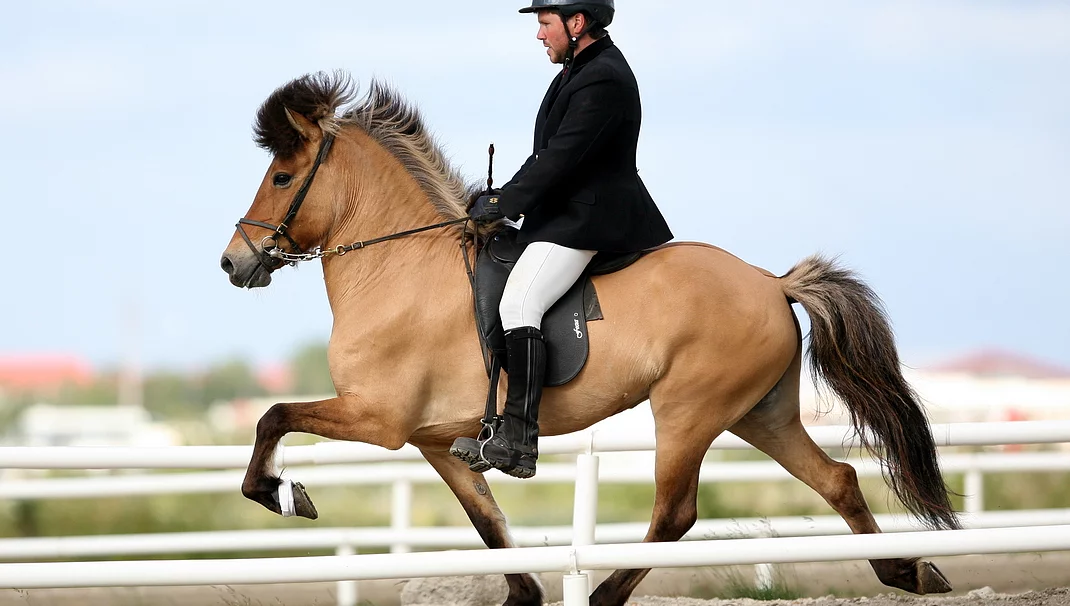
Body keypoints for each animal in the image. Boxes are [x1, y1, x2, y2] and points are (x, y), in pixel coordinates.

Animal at [219, 74, 963, 606]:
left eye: (282, 177)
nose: (234, 263)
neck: (399, 269)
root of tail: (768, 281)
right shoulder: (434, 439)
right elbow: (490, 527)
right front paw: (522, 593)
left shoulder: (379, 418)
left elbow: (272, 416)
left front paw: (284, 494)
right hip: (760, 412)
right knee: (836, 479)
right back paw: (909, 572)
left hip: (689, 410)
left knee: (675, 513)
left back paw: (606, 593)